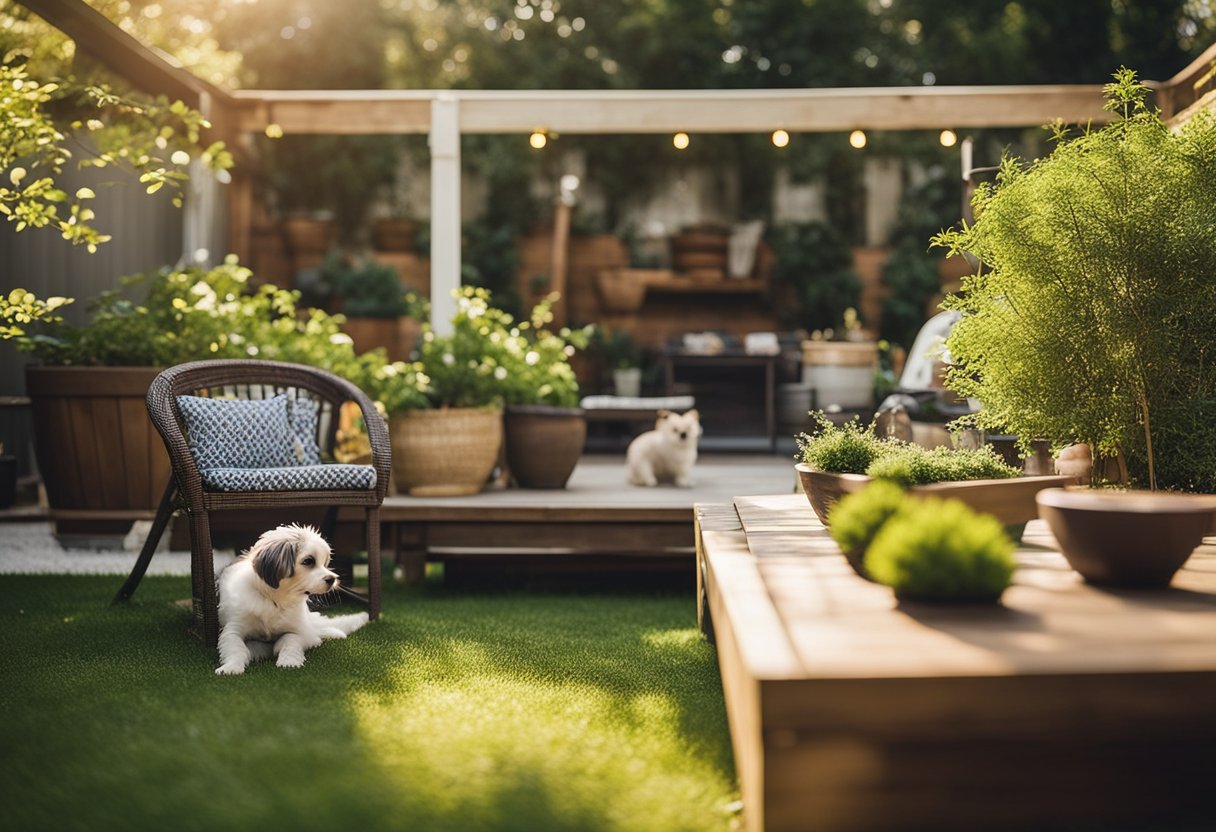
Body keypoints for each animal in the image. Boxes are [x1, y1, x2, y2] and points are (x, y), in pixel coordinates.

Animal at [214, 525, 367, 676]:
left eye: (324, 563)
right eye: (308, 561)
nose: (332, 579)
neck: (275, 599)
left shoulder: (295, 630)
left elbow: (289, 642)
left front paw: (289, 662)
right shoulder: (233, 629)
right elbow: (236, 648)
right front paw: (231, 667)